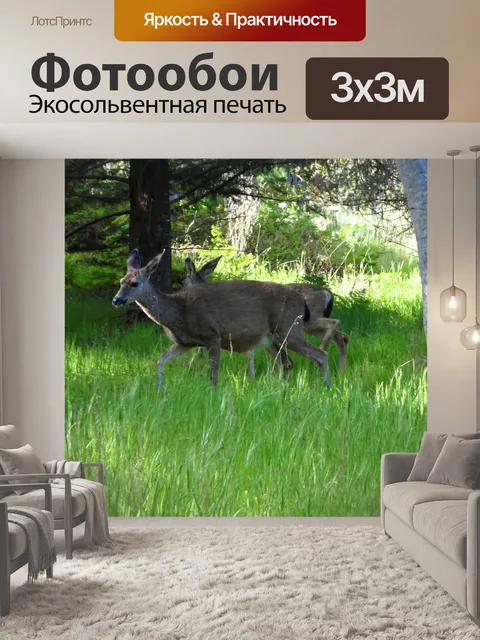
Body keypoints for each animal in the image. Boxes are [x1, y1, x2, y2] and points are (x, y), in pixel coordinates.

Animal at [112, 249, 332, 389]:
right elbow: (160, 361)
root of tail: (301, 300)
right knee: (287, 362)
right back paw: (282, 391)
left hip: (289, 328)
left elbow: (213, 375)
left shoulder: (212, 335)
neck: (178, 312)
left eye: (134, 283)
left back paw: (327, 389)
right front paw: (159, 391)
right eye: (121, 281)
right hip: (270, 338)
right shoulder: (184, 342)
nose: (116, 299)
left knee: (320, 354)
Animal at [183, 257, 350, 378]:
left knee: (335, 325)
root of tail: (328, 293)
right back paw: (340, 371)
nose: (181, 290)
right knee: (341, 336)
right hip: (307, 326)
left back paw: (324, 355)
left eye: (183, 282)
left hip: (307, 320)